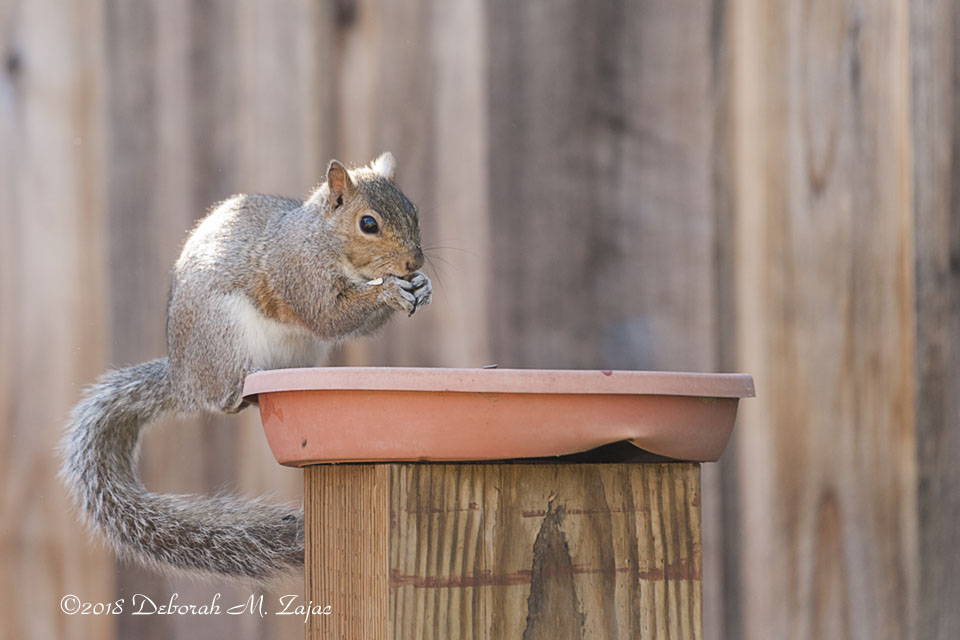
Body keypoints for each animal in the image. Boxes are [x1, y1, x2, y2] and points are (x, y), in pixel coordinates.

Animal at [59, 152, 431, 581]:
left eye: (413, 209)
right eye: (368, 224)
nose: (414, 261)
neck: (320, 238)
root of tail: (183, 376)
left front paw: (421, 285)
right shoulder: (297, 274)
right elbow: (330, 316)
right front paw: (388, 291)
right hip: (226, 338)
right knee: (223, 402)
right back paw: (243, 390)